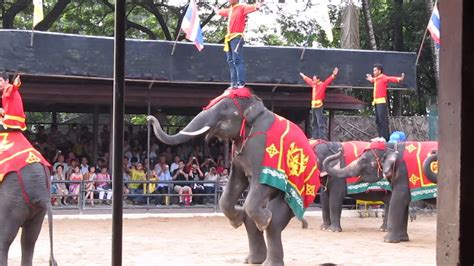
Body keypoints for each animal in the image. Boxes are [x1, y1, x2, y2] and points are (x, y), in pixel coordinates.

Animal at [146, 88, 320, 266]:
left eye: (223, 108)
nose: (149, 118)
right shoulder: (238, 155)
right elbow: (236, 183)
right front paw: (237, 220)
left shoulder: (264, 149)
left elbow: (262, 183)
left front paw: (264, 220)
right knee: (253, 220)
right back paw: (253, 259)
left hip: (302, 192)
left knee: (275, 221)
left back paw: (267, 234)